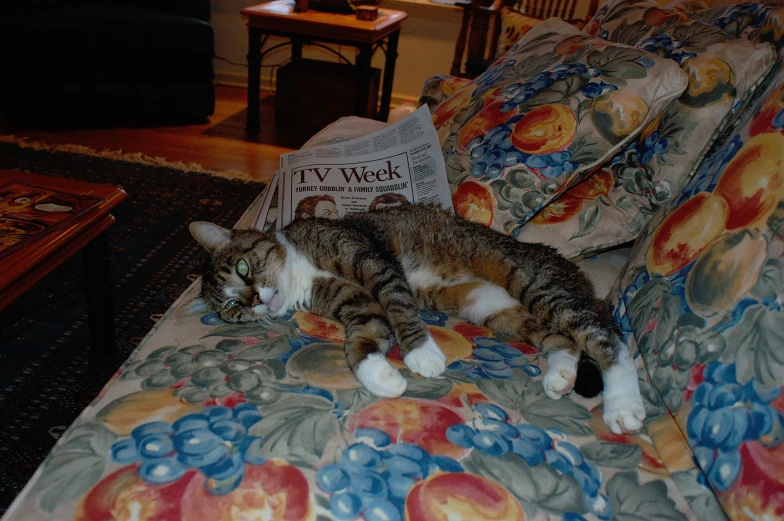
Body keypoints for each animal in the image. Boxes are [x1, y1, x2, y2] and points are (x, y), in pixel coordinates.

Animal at [190, 203, 644, 434]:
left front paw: (422, 354)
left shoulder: (370, 261)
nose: (255, 301)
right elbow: (362, 339)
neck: (300, 267)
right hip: (495, 308)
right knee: (562, 340)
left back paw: (623, 406)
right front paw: (383, 378)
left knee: (607, 338)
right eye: (232, 309)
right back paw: (560, 376)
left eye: (244, 268)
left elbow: (397, 305)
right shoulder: (355, 302)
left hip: (536, 285)